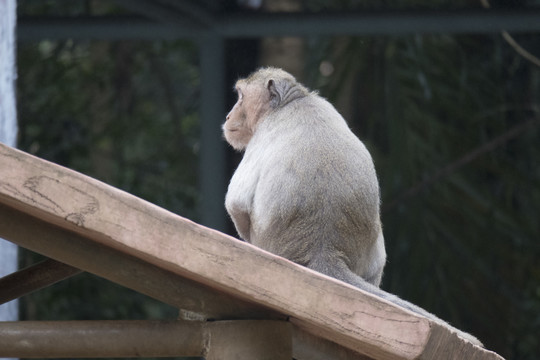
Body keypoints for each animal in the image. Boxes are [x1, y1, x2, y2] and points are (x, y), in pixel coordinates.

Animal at [223, 67, 480, 346]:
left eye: (240, 97)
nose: (228, 115)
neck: (293, 101)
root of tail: (321, 250)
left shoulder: (262, 135)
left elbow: (236, 202)